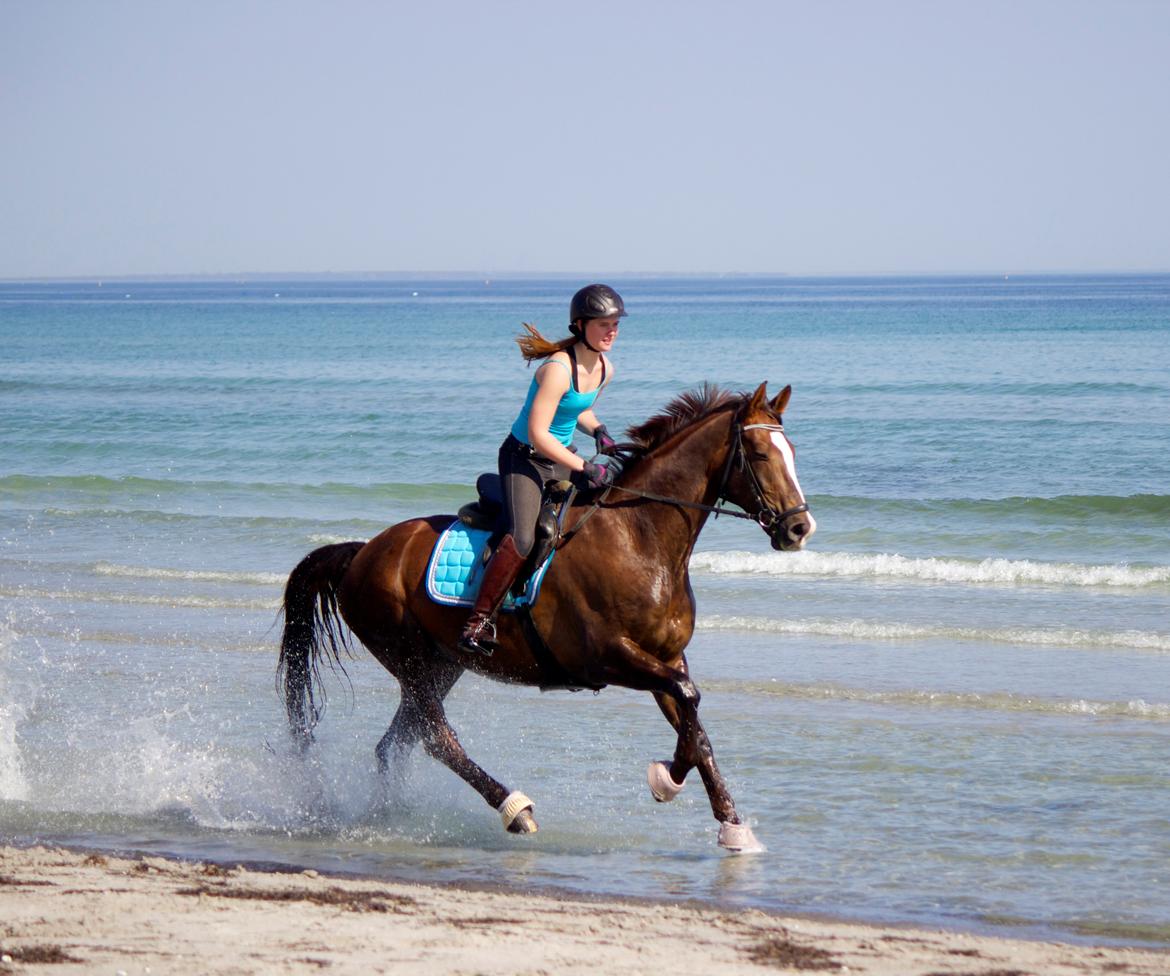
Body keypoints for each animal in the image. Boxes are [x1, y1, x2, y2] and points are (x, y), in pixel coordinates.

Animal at [279, 376, 819, 847]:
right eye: (761, 454)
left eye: (792, 453)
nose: (799, 528)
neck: (640, 535)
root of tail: (363, 552)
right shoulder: (607, 657)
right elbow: (689, 700)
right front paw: (666, 780)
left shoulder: (666, 659)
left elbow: (694, 723)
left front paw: (730, 825)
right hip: (406, 656)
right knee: (436, 738)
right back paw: (514, 808)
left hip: (442, 663)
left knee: (398, 741)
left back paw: (388, 818)